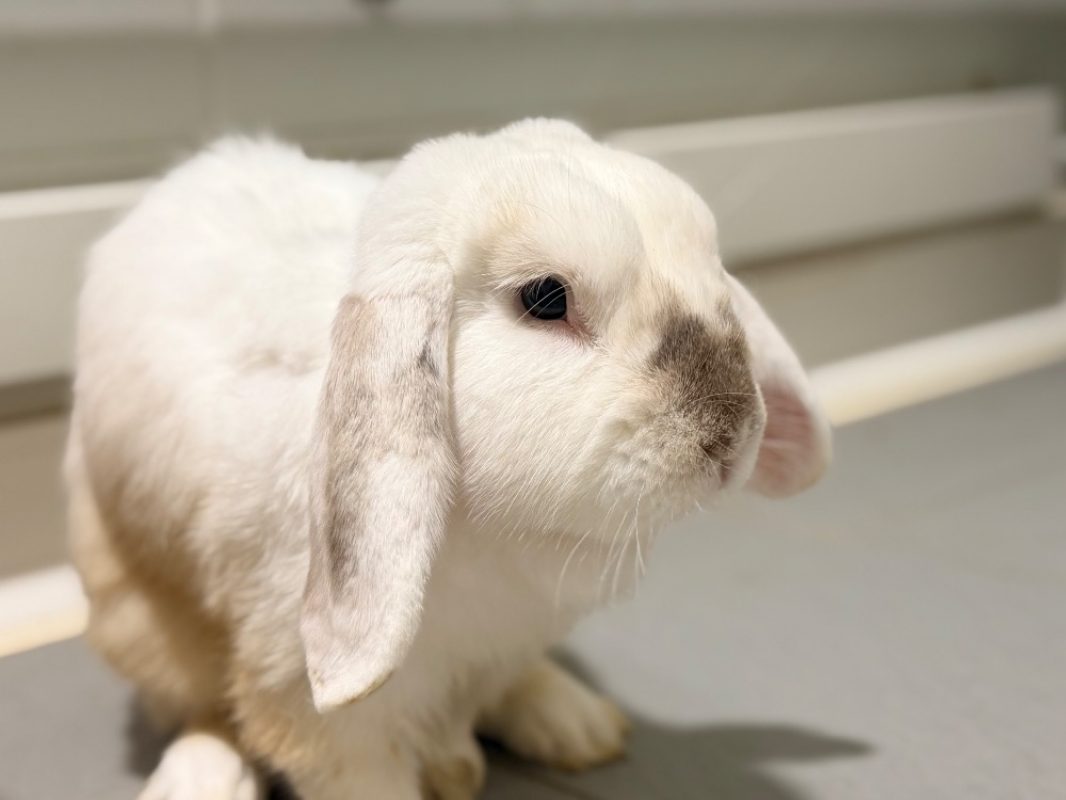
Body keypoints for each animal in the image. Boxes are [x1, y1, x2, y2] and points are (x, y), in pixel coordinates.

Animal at [66, 118, 831, 800]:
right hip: (139, 616)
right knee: (200, 706)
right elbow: (356, 774)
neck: (492, 534)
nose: (732, 433)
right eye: (545, 297)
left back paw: (574, 725)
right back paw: (202, 780)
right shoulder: (317, 709)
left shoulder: (507, 636)